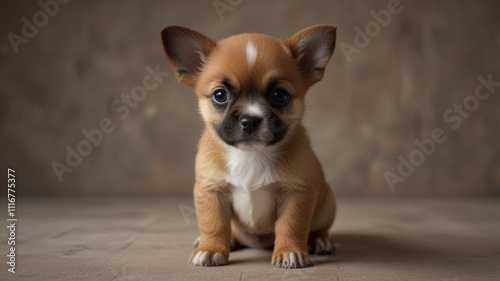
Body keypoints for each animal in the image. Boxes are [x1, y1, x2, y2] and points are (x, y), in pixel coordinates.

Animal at [162, 24, 338, 266]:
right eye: (220, 95)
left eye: (280, 95)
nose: (250, 120)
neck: (251, 155)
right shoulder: (211, 192)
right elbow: (213, 224)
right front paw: (210, 248)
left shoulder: (296, 194)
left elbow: (291, 225)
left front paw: (290, 251)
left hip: (327, 205)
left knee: (317, 228)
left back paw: (319, 240)